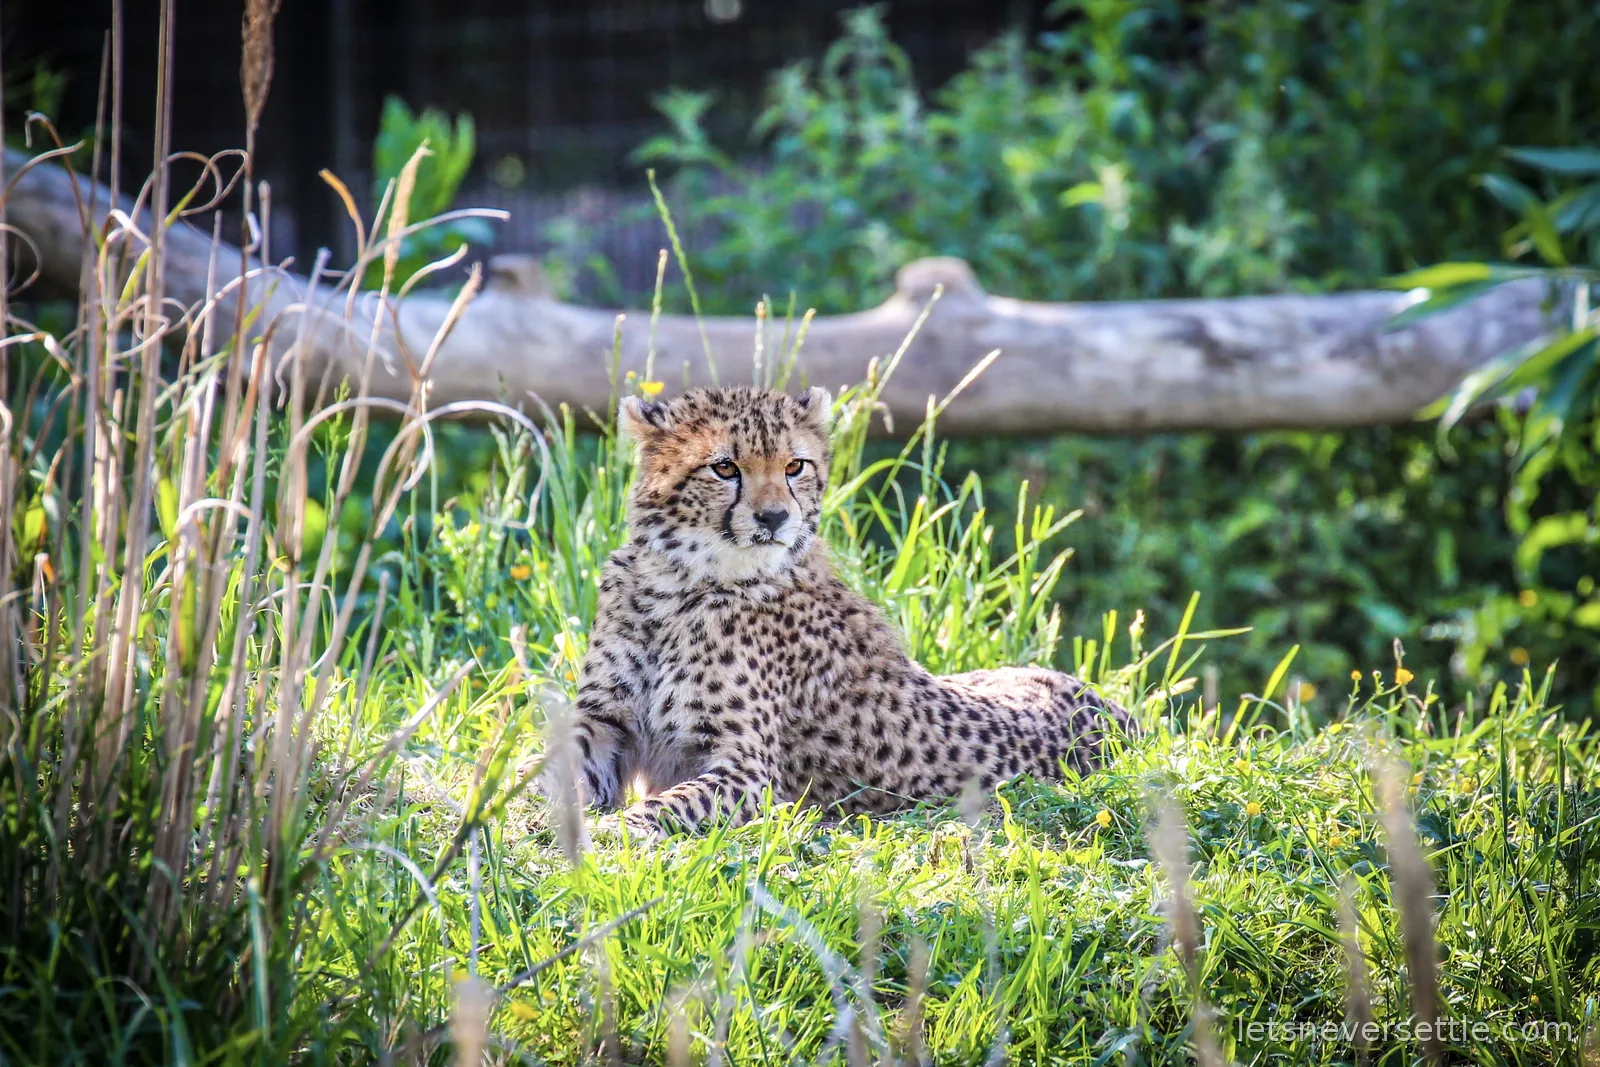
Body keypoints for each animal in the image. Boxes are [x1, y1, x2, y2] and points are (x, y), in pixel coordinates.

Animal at [558, 385, 1132, 838]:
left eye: (795, 466)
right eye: (724, 467)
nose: (774, 517)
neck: (680, 582)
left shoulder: (750, 774)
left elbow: (665, 806)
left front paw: (609, 832)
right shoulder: (606, 719)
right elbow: (559, 767)